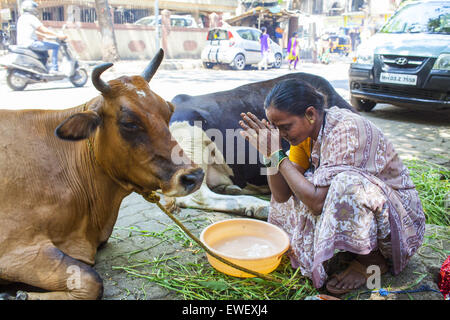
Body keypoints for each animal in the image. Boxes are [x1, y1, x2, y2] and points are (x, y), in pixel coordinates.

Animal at [0, 48, 204, 298]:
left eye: (169, 111)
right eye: (129, 122)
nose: (193, 176)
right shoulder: (14, 247)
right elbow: (91, 280)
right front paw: (19, 294)